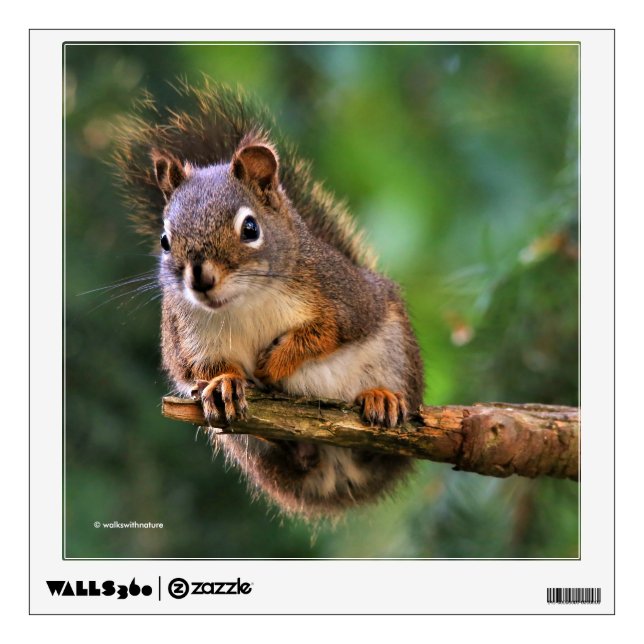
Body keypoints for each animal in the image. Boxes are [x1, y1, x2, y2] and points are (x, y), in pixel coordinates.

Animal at [112, 79, 424, 519]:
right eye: (165, 241)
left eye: (250, 228)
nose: (200, 279)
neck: (243, 304)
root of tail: (339, 476)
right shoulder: (183, 338)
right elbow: (197, 368)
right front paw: (224, 383)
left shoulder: (344, 297)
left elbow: (327, 333)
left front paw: (276, 362)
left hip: (396, 352)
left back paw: (382, 399)